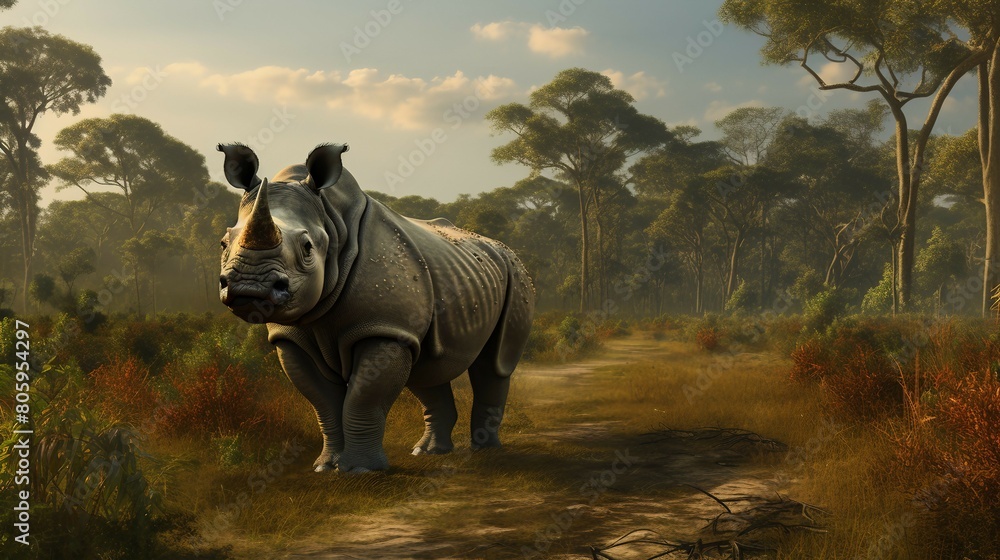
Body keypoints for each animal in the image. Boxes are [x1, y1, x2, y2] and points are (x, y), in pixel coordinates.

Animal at [216, 143, 534, 473]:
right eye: (223, 243)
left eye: (307, 248)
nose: (249, 287)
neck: (331, 222)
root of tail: (503, 249)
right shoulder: (292, 337)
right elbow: (323, 401)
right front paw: (326, 467)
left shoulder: (382, 327)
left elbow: (363, 397)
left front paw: (360, 470)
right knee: (425, 365)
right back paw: (428, 452)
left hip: (516, 275)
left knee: (495, 363)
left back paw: (486, 450)